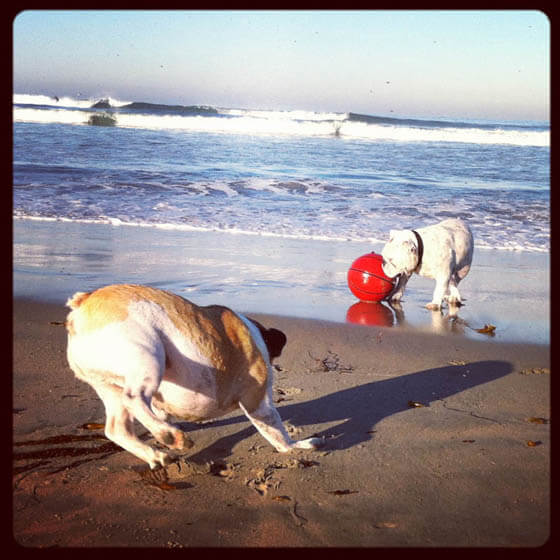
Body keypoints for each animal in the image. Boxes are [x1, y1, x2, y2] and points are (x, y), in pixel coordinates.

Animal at [66, 284, 322, 468]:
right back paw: (170, 436)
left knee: (117, 428)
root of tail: (83, 303)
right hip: (148, 356)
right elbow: (278, 434)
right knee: (134, 397)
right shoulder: (259, 401)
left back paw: (156, 456)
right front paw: (298, 445)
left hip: (108, 387)